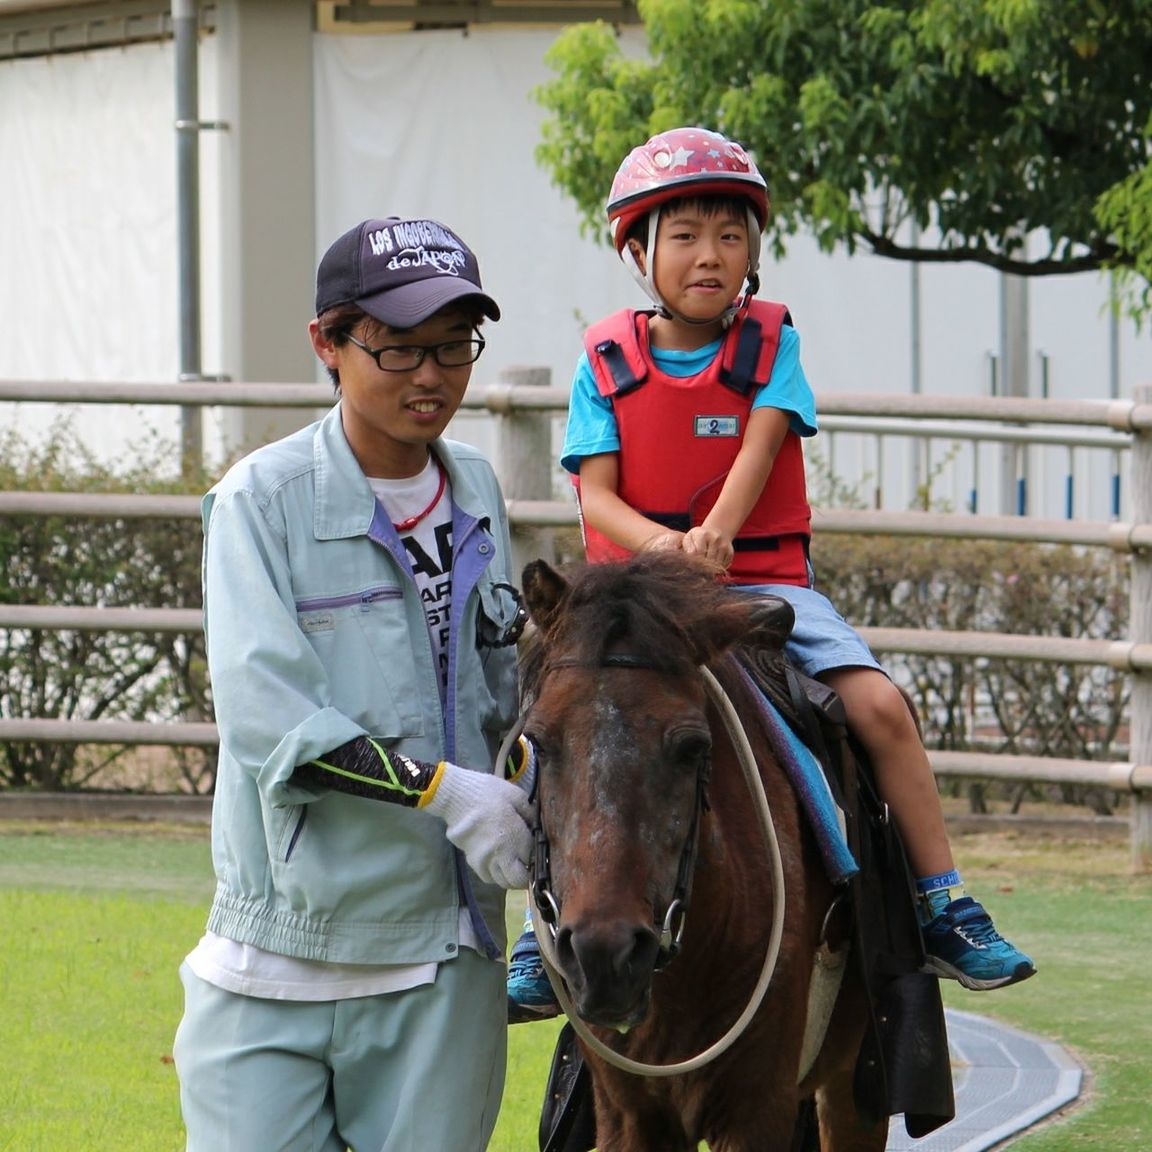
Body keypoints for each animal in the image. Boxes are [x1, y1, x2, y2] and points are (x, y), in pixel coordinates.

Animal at [518, 552, 893, 1147]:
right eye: (537, 741)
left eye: (693, 747)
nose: (606, 955)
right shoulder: (627, 1113)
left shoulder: (756, 1110)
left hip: (850, 1095)